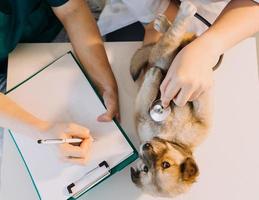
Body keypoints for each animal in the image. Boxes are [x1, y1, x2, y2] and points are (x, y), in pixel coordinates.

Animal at [129, 1, 217, 198]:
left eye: (166, 164)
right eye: (146, 169)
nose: (146, 146)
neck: (170, 136)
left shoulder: (202, 122)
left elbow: (201, 100)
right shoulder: (142, 114)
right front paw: (153, 75)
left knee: (175, 38)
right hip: (163, 54)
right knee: (172, 38)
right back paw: (174, 18)